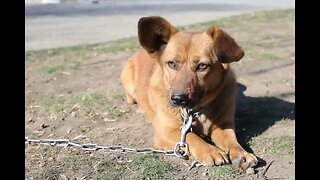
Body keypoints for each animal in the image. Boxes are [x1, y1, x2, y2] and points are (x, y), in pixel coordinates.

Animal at [120, 15, 258, 170]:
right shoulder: (166, 132)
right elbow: (191, 137)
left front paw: (242, 154)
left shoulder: (223, 125)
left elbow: (231, 140)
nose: (177, 99)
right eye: (171, 64)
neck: (195, 111)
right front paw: (211, 151)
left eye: (202, 66)